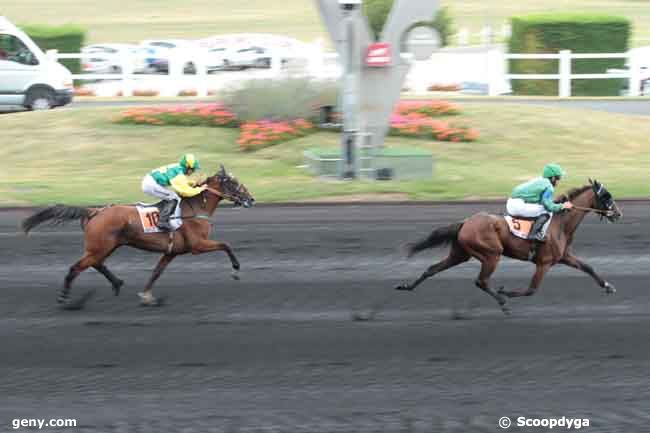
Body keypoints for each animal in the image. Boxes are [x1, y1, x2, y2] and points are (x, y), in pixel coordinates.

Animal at [20, 165, 253, 308]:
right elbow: (226, 245)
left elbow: (156, 272)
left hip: (105, 246)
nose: (251, 199)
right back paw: (64, 298)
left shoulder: (172, 252)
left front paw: (147, 296)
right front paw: (236, 271)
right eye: (234, 184)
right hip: (101, 246)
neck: (195, 208)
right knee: (77, 267)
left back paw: (117, 283)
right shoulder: (198, 245)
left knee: (96, 263)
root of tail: (95, 211)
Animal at [392, 179, 620, 314]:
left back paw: (407, 286)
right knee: (481, 281)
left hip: (460, 254)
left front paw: (608, 286)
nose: (618, 214)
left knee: (432, 269)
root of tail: (465, 222)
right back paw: (502, 302)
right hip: (492, 254)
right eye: (606, 196)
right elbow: (531, 289)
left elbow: (588, 267)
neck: (559, 224)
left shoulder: (563, 257)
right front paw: (506, 292)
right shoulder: (544, 263)